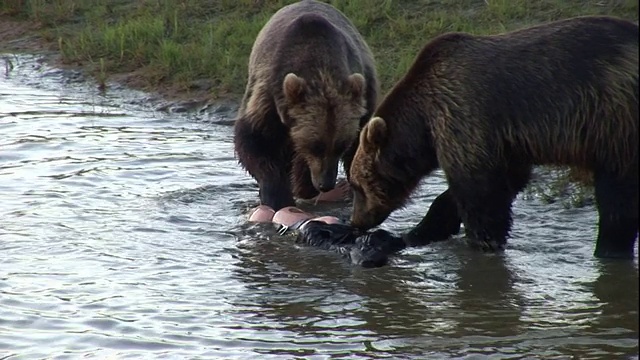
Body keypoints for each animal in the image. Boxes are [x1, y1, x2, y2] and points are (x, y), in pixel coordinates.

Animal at [232, 0, 378, 211]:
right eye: (316, 146)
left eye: (341, 145)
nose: (325, 184)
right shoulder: (270, 96)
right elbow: (254, 138)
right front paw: (277, 195)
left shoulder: (363, 97)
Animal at [348, 15, 636, 260]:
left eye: (357, 185)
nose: (356, 221)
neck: (423, 127)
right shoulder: (507, 144)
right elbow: (494, 185)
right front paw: (420, 231)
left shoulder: (464, 117)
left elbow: (481, 194)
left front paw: (482, 243)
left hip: (612, 118)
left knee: (616, 196)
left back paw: (609, 250)